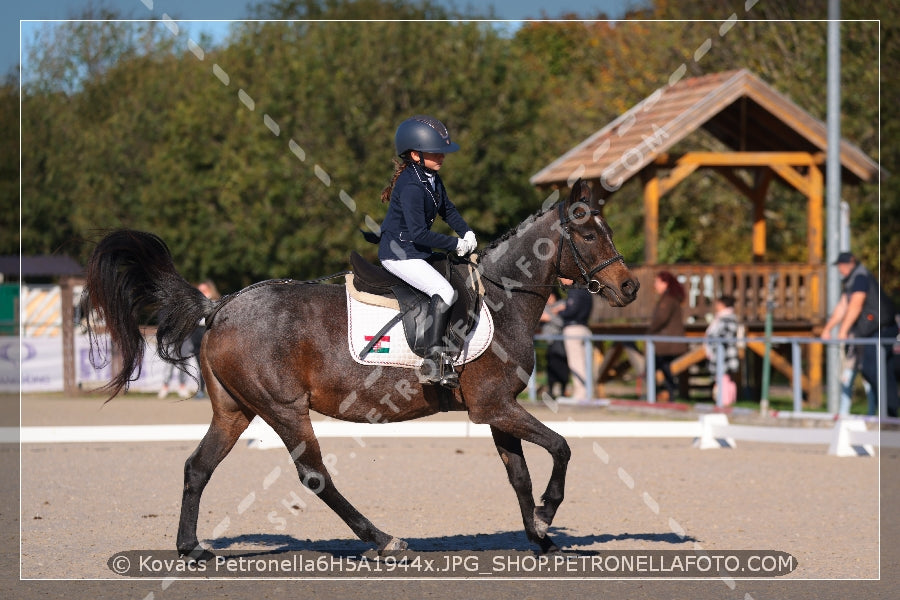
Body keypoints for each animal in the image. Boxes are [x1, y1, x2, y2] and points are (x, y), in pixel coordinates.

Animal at [79, 177, 640, 556]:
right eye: (589, 235)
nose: (629, 287)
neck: (502, 298)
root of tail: (221, 306)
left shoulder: (495, 409)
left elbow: (519, 474)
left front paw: (539, 535)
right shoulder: (495, 406)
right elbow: (561, 447)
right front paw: (547, 513)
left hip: (235, 410)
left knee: (198, 466)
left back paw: (191, 547)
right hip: (284, 408)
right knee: (314, 476)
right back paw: (382, 539)